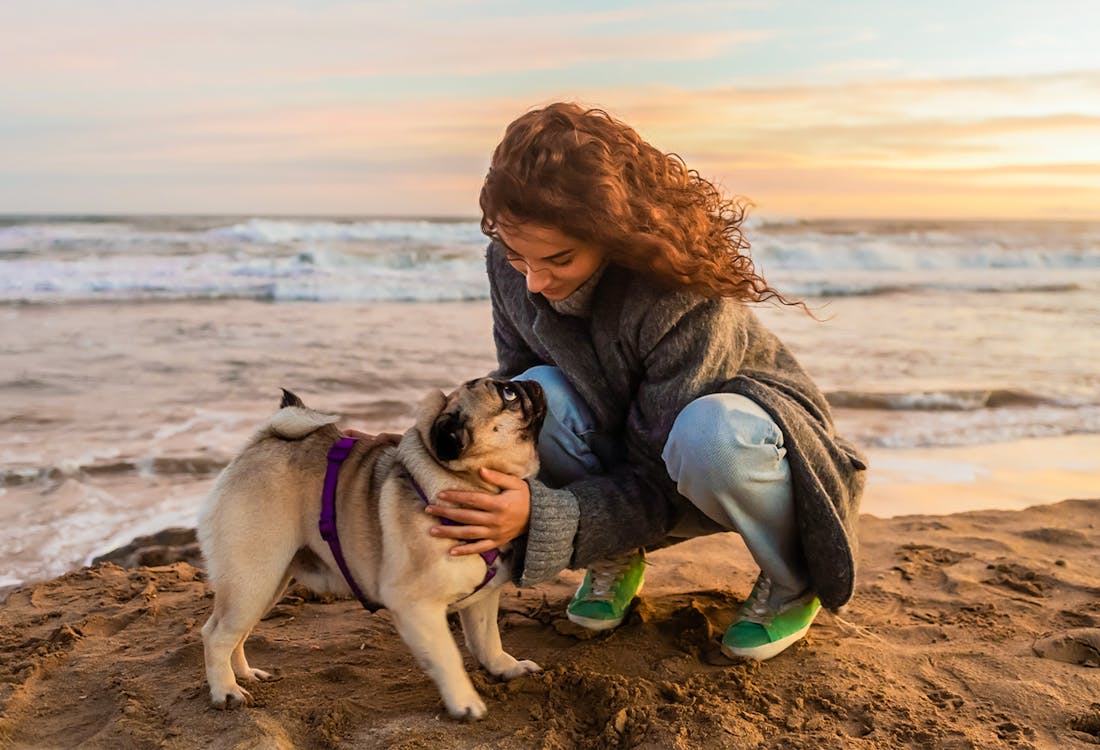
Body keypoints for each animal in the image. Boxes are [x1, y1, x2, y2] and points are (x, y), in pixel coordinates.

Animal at [196, 380, 545, 717]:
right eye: (508, 393)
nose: (534, 383)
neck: (469, 482)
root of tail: (262, 441)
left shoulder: (481, 601)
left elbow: (488, 641)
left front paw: (508, 668)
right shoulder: (415, 605)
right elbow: (448, 658)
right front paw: (465, 701)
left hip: (266, 584)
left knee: (237, 634)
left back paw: (243, 675)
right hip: (253, 578)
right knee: (216, 634)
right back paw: (226, 691)